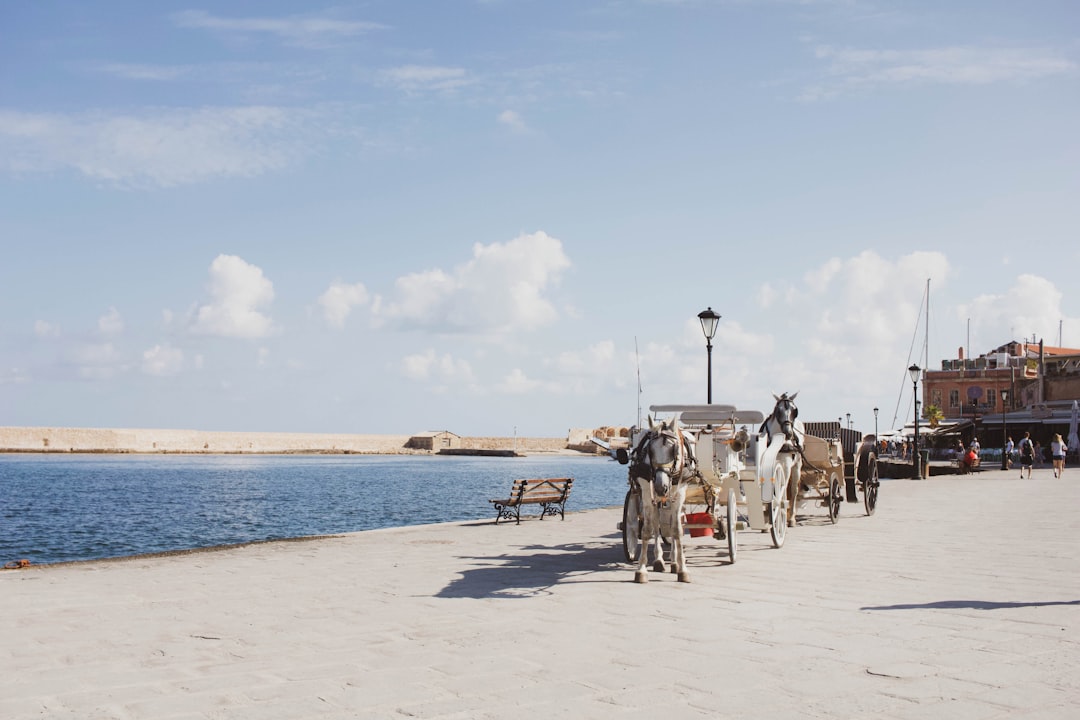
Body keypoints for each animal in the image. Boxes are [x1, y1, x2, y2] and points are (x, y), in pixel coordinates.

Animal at [630, 414, 695, 582]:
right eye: (650, 450)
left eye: (674, 450)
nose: (660, 487)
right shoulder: (647, 493)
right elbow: (647, 530)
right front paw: (641, 570)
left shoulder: (679, 493)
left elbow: (677, 530)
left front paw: (682, 569)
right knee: (656, 523)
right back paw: (659, 560)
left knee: (672, 524)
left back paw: (674, 561)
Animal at [764, 390, 807, 526]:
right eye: (778, 411)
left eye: (795, 411)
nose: (788, 433)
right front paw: (767, 517)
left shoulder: (786, 465)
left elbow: (783, 488)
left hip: (797, 466)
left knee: (793, 490)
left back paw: (791, 517)